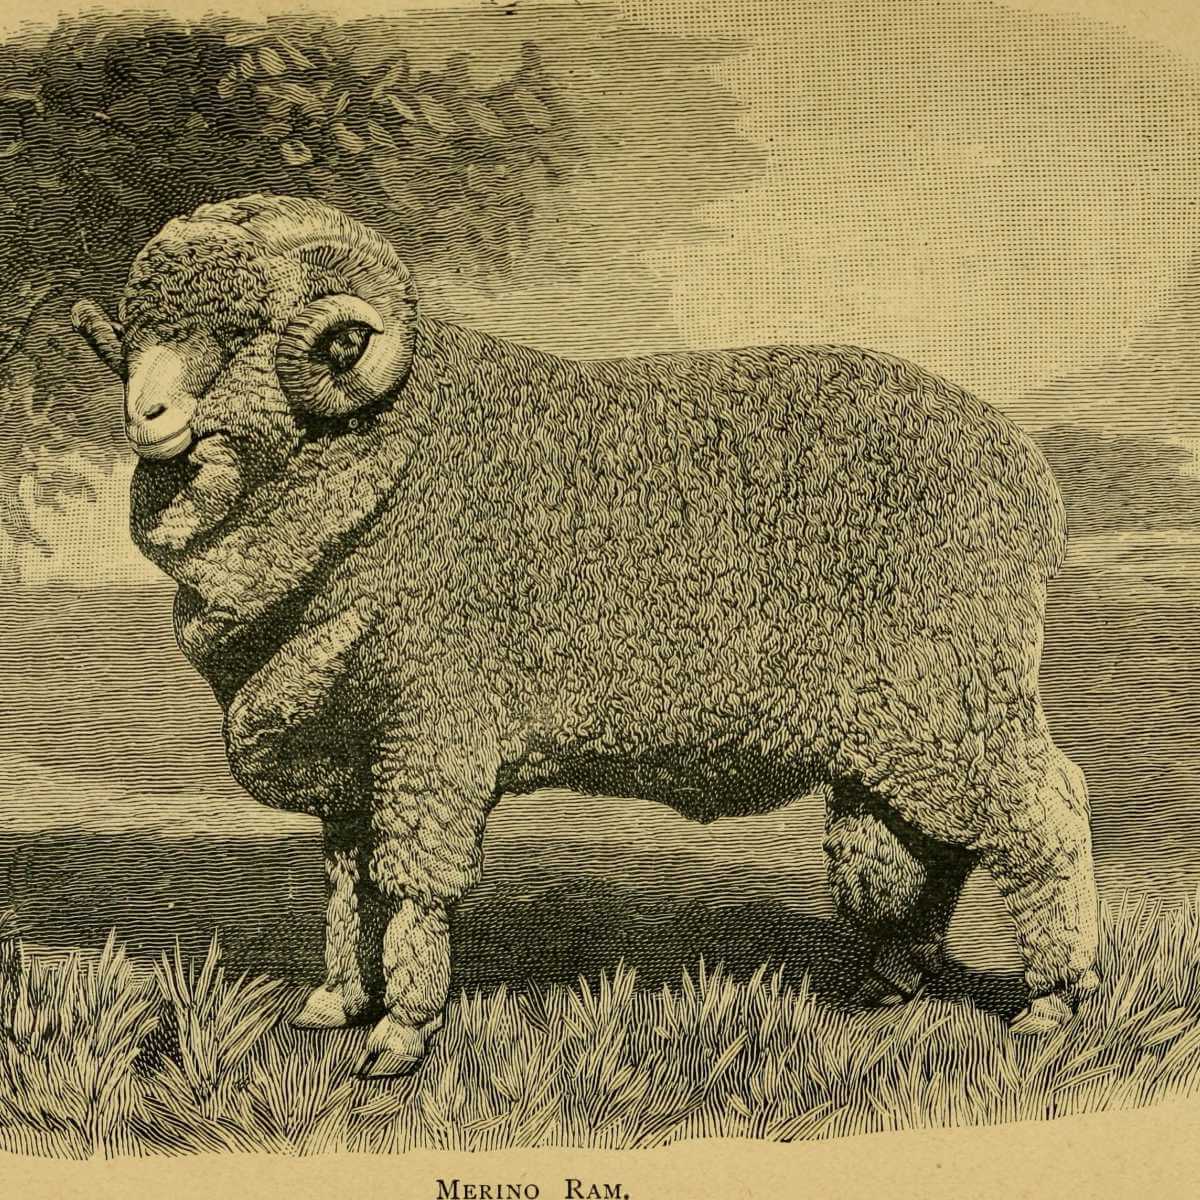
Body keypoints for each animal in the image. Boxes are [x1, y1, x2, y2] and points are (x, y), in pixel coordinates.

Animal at [70, 193, 1100, 1078]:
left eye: (240, 334)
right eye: (140, 333)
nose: (143, 417)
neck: (389, 452)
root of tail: (1029, 474)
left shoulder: (429, 728)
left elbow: (411, 881)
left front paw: (401, 1033)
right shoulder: (349, 742)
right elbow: (346, 879)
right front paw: (335, 1003)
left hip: (954, 690)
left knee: (1047, 811)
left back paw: (1054, 1001)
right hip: (911, 722)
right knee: (945, 839)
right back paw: (896, 978)